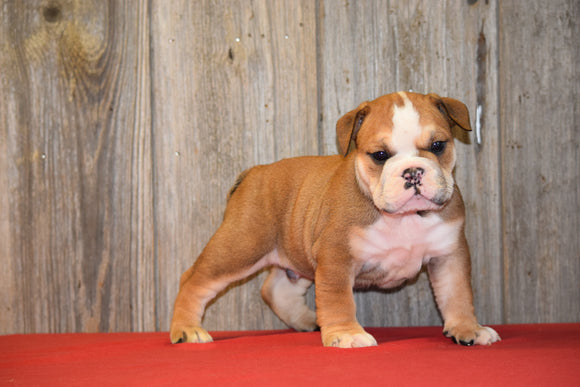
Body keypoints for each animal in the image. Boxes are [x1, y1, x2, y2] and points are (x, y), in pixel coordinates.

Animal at [170, 92, 500, 350]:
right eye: (380, 155)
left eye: (438, 146)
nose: (412, 171)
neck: (403, 218)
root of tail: (253, 172)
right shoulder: (336, 258)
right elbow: (338, 298)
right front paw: (347, 333)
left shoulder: (449, 255)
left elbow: (457, 294)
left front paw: (468, 328)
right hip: (240, 246)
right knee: (194, 279)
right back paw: (187, 329)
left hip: (294, 255)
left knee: (275, 289)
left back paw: (308, 321)